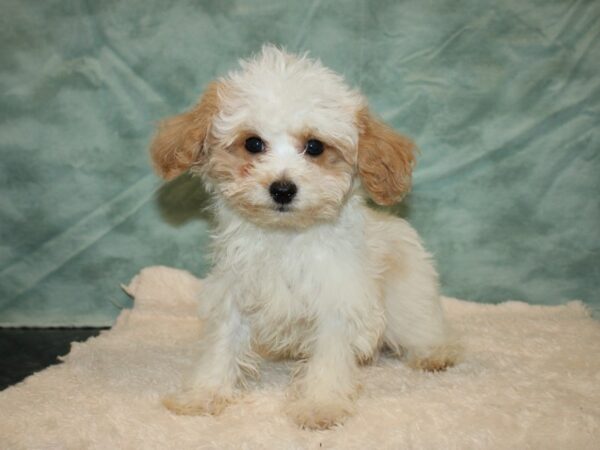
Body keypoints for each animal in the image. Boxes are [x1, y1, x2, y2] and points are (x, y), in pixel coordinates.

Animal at [150, 45, 460, 428]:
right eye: (253, 143)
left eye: (314, 147)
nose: (282, 189)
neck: (286, 238)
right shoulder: (234, 294)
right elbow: (221, 348)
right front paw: (203, 393)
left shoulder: (337, 303)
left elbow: (328, 361)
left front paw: (320, 404)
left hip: (408, 299)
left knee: (424, 328)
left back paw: (436, 353)